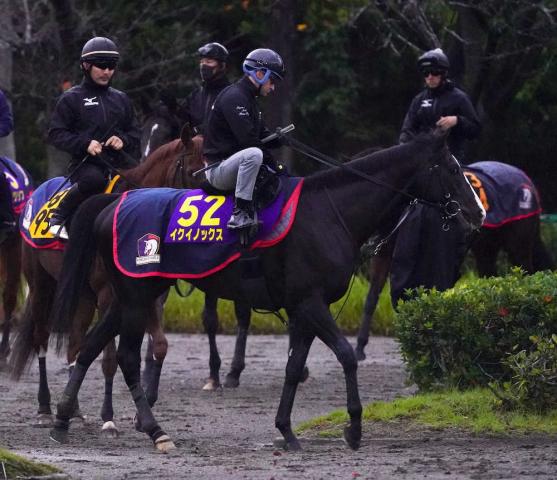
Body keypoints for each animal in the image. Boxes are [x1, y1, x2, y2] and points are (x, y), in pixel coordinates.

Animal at [8, 128, 203, 436]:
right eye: (195, 172)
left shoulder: (150, 298)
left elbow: (159, 346)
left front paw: (142, 412)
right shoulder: (108, 296)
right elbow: (110, 359)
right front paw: (109, 418)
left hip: (82, 297)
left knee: (74, 345)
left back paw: (74, 412)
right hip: (40, 286)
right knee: (41, 340)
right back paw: (44, 409)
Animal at [46, 129, 482, 452]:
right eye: (450, 166)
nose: (476, 213)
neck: (329, 211)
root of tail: (112, 202)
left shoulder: (303, 310)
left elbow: (293, 367)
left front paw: (286, 430)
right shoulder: (312, 303)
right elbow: (346, 356)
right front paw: (354, 428)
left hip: (126, 298)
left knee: (91, 347)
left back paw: (64, 418)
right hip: (137, 298)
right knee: (125, 357)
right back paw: (155, 430)